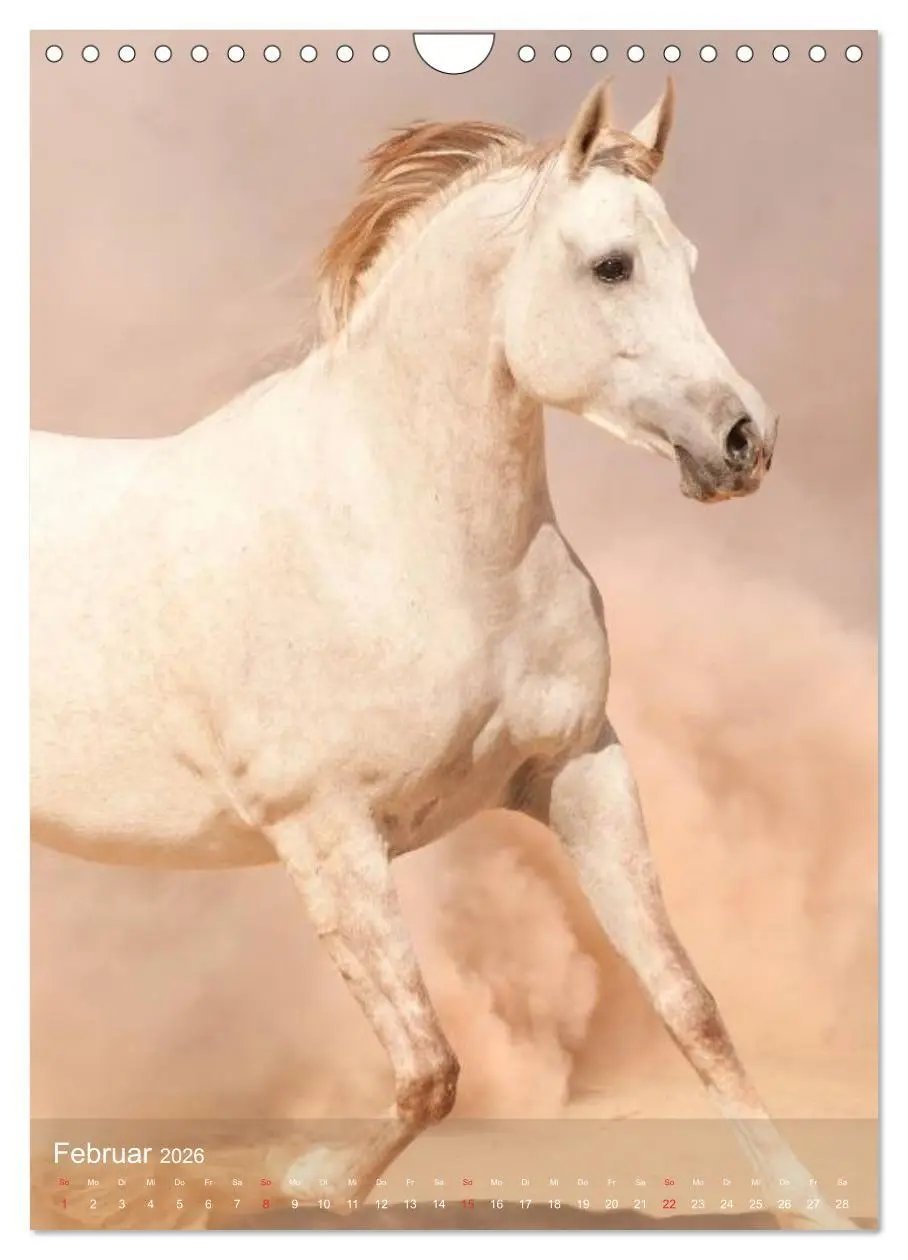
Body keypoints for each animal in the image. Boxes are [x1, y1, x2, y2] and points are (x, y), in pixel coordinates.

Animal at [30, 79, 850, 1229]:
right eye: (611, 264)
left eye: (686, 258)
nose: (744, 443)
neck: (411, 535)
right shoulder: (326, 834)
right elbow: (430, 1069)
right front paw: (305, 1181)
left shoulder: (580, 770)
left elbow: (690, 1006)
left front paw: (811, 1213)